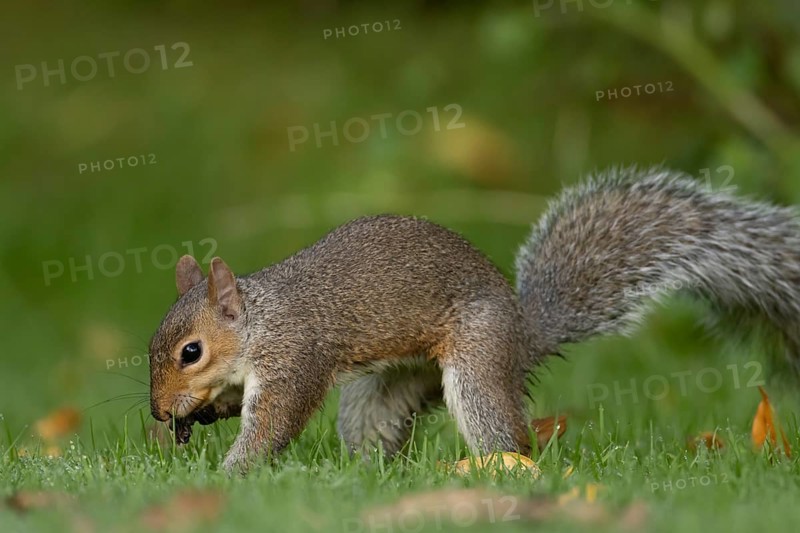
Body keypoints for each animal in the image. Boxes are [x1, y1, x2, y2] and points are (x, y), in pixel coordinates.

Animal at [148, 166, 800, 472]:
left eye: (191, 352)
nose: (157, 411)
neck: (260, 322)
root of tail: (522, 333)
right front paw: (206, 415)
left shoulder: (295, 359)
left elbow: (272, 424)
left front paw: (231, 472)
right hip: (391, 384)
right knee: (373, 428)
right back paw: (367, 475)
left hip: (477, 364)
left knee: (503, 432)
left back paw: (496, 469)